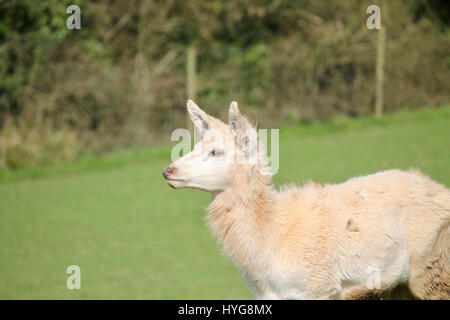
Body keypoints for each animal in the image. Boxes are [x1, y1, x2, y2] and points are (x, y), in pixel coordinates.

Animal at [163, 100, 450, 300]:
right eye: (195, 146)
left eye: (215, 151)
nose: (168, 171)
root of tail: (440, 189)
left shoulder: (319, 287)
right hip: (398, 285)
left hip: (432, 268)